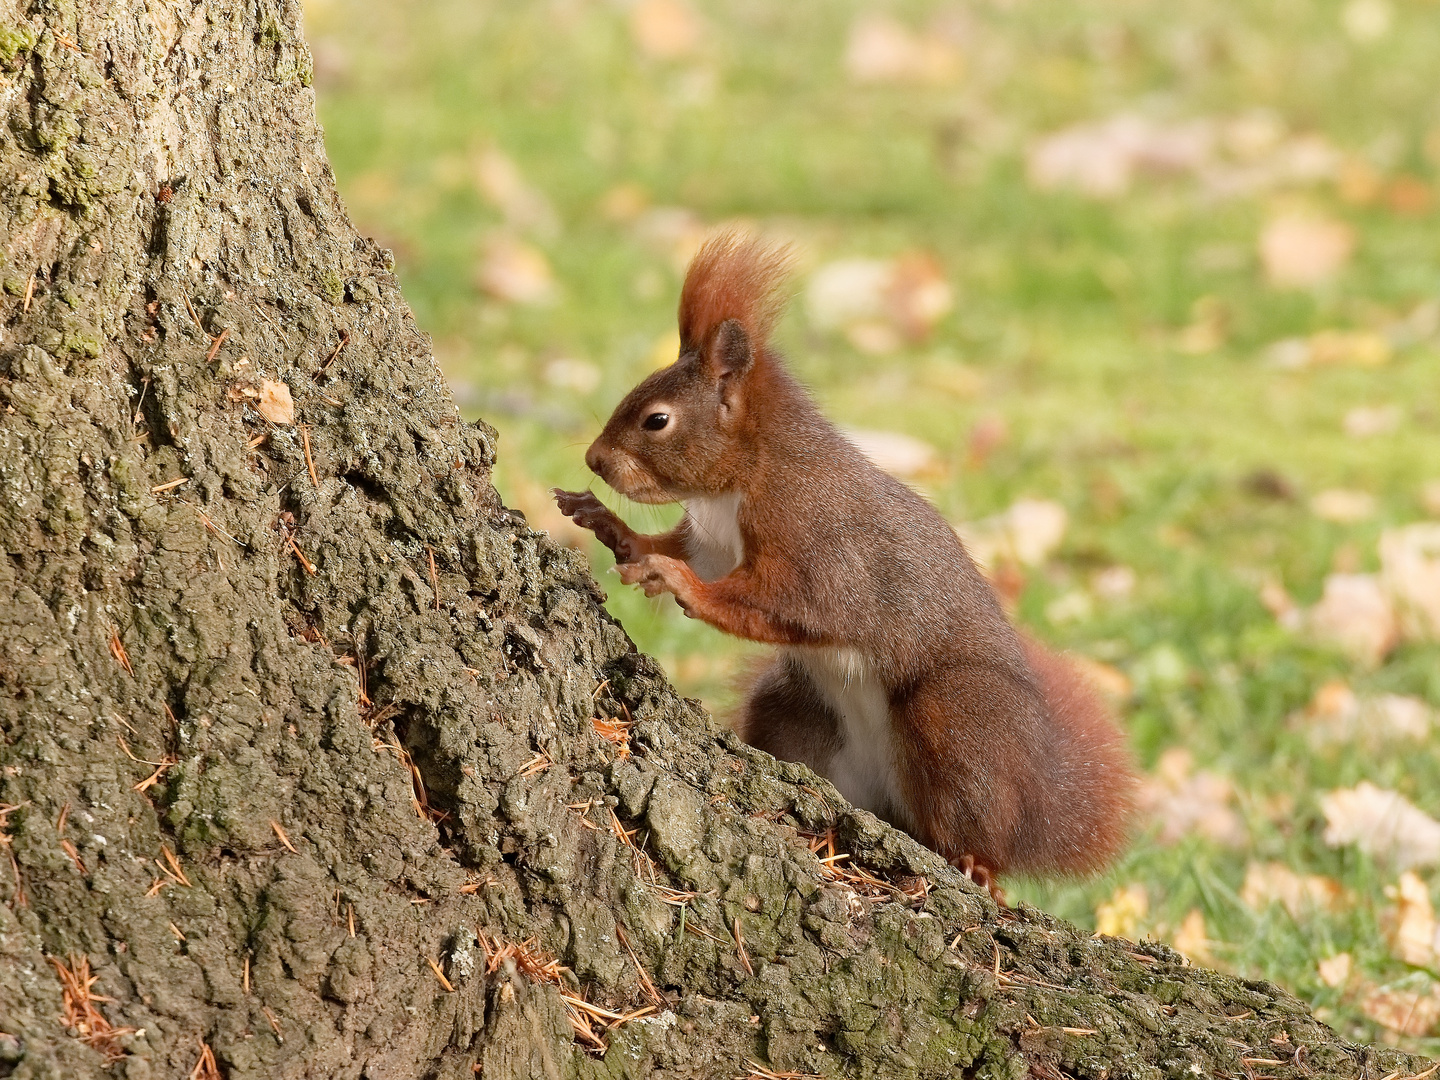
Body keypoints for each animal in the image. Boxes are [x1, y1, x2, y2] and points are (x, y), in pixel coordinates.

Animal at [555, 233, 1128, 898]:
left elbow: (780, 602)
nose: (594, 460)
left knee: (979, 829)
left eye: (657, 419)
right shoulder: (713, 543)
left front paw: (675, 582)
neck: (746, 475)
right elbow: (673, 548)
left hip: (955, 720)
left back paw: (977, 863)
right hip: (792, 710)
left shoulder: (818, 548)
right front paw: (609, 526)